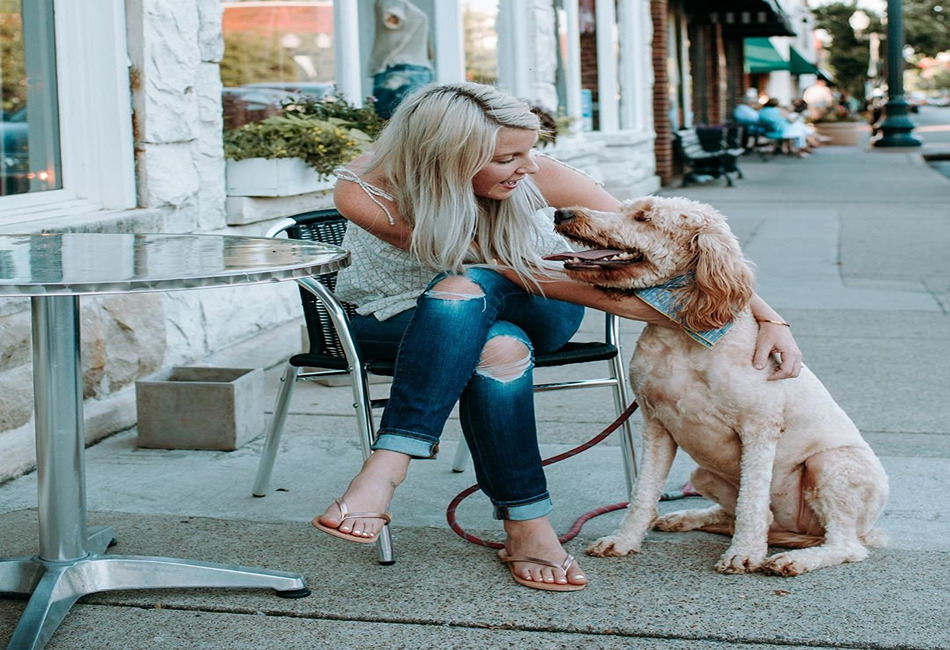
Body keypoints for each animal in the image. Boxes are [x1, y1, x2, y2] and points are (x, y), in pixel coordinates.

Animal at [552, 195, 892, 576]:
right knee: (732, 515)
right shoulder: (656, 424)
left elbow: (752, 502)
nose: (562, 212)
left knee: (845, 545)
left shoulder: (759, 427)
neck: (682, 331)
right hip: (704, 474)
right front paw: (624, 540)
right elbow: (643, 492)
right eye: (625, 208)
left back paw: (794, 559)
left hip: (832, 465)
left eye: (644, 218)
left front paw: (744, 553)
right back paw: (685, 517)